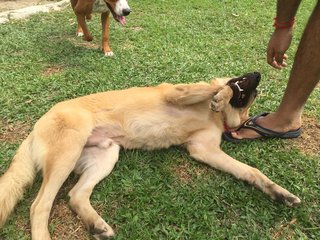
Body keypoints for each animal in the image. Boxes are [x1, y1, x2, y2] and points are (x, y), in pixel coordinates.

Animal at [0, 71, 300, 240]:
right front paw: (222, 93)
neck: (216, 117)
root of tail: (36, 127)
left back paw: (96, 225)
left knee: (75, 195)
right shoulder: (176, 94)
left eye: (253, 94)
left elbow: (251, 171)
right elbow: (214, 87)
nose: (259, 72)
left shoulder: (204, 150)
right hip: (67, 153)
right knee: (39, 206)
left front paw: (279, 192)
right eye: (250, 84)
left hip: (106, 156)